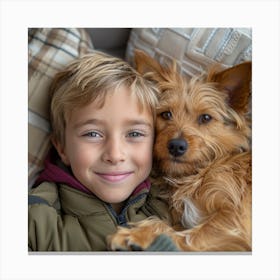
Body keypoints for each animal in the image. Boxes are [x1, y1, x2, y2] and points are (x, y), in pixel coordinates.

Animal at [107, 49, 252, 252]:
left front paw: (136, 235)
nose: (176, 145)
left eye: (205, 118)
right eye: (166, 114)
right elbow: (167, 226)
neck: (197, 176)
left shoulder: (233, 219)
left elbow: (188, 237)